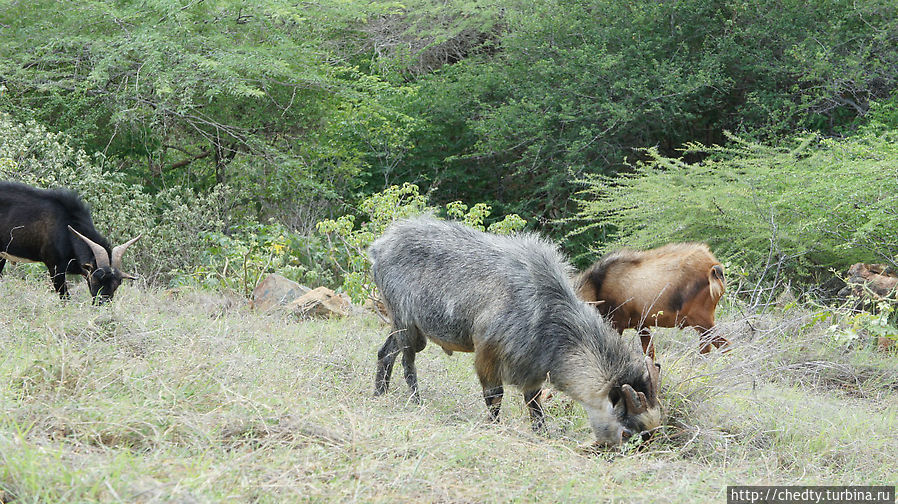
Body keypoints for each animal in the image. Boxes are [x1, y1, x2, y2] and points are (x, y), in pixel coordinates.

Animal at [0, 180, 140, 304]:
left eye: (117, 284)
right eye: (95, 279)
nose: (102, 305)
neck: (66, 224)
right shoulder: (55, 267)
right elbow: (65, 298)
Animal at [370, 217, 656, 444]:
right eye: (627, 433)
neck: (545, 307)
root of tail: (380, 246)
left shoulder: (533, 367)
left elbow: (534, 404)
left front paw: (542, 433)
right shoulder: (488, 353)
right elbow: (494, 396)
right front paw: (494, 427)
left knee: (385, 353)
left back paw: (380, 394)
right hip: (406, 323)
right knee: (407, 361)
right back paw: (415, 401)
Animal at [576, 243, 728, 358]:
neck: (598, 286)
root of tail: (713, 267)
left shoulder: (616, 324)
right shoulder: (642, 325)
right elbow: (650, 354)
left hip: (701, 320)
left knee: (724, 346)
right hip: (702, 325)